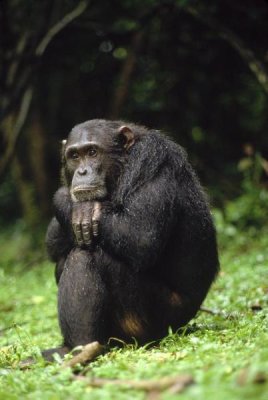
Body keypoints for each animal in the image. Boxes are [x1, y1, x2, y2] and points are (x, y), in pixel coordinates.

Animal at [45, 119, 218, 350]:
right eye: (74, 156)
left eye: (92, 152)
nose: (81, 171)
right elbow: (52, 241)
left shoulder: (153, 160)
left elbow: (140, 236)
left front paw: (78, 206)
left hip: (151, 321)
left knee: (86, 256)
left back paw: (80, 348)